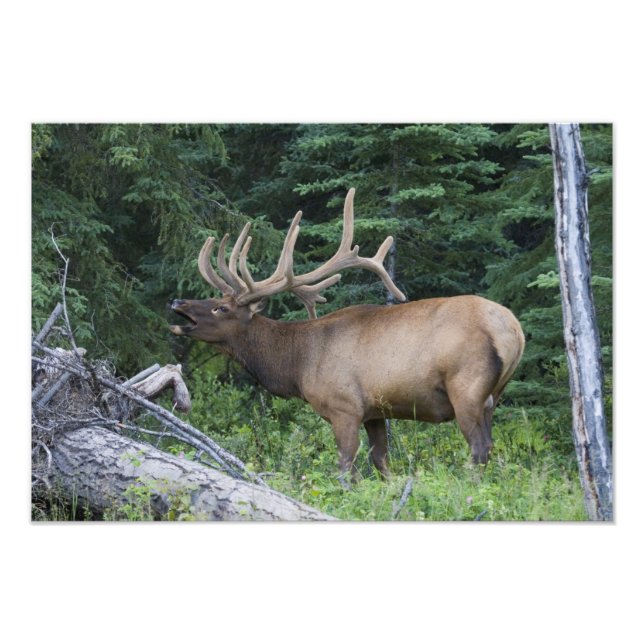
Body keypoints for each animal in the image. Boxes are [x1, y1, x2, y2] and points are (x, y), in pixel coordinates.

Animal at [170, 188, 525, 484]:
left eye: (220, 308)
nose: (177, 302)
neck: (298, 365)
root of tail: (514, 330)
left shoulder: (344, 407)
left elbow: (345, 469)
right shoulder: (375, 412)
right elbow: (381, 463)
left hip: (466, 385)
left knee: (479, 448)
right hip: (494, 395)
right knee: (490, 445)